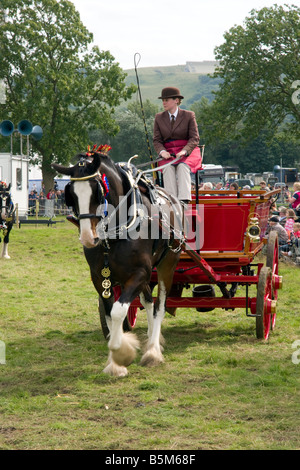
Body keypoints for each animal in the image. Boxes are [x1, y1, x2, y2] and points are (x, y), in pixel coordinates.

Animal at [51, 149, 184, 376]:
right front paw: (115, 362)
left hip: (167, 264)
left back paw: (153, 350)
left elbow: (119, 311)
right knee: (148, 301)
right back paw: (151, 339)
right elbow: (109, 315)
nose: (88, 237)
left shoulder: (139, 273)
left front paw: (122, 353)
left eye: (97, 191)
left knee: (160, 305)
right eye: (71, 194)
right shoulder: (100, 278)